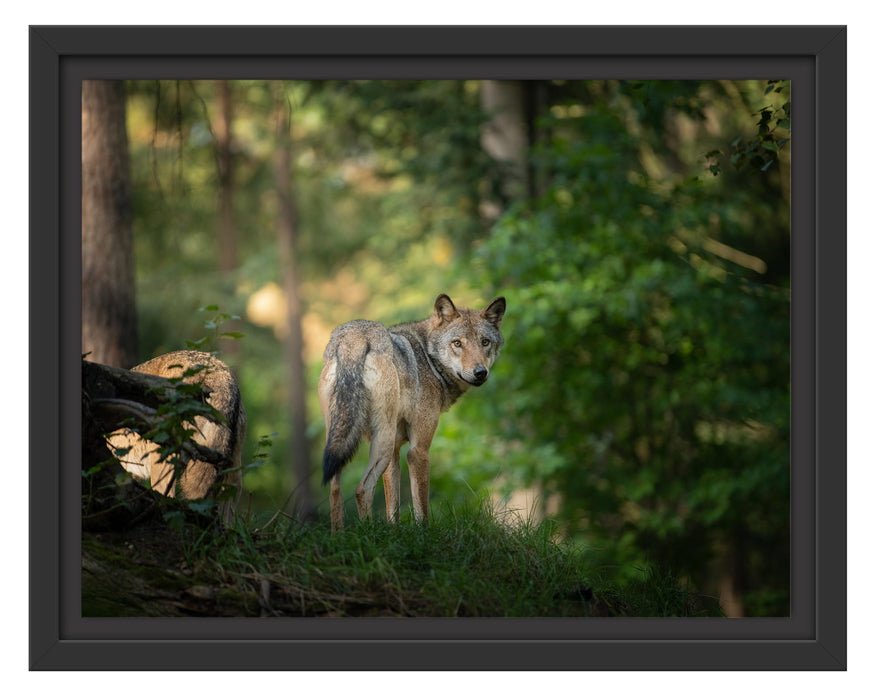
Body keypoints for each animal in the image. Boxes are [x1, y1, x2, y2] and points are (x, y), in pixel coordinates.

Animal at [318, 293, 506, 530]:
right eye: (457, 343)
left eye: (485, 342)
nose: (480, 372)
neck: (428, 358)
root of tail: (354, 338)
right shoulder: (417, 451)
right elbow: (421, 509)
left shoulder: (396, 451)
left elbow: (393, 508)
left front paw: (394, 532)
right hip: (382, 441)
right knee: (362, 489)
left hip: (341, 441)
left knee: (335, 491)